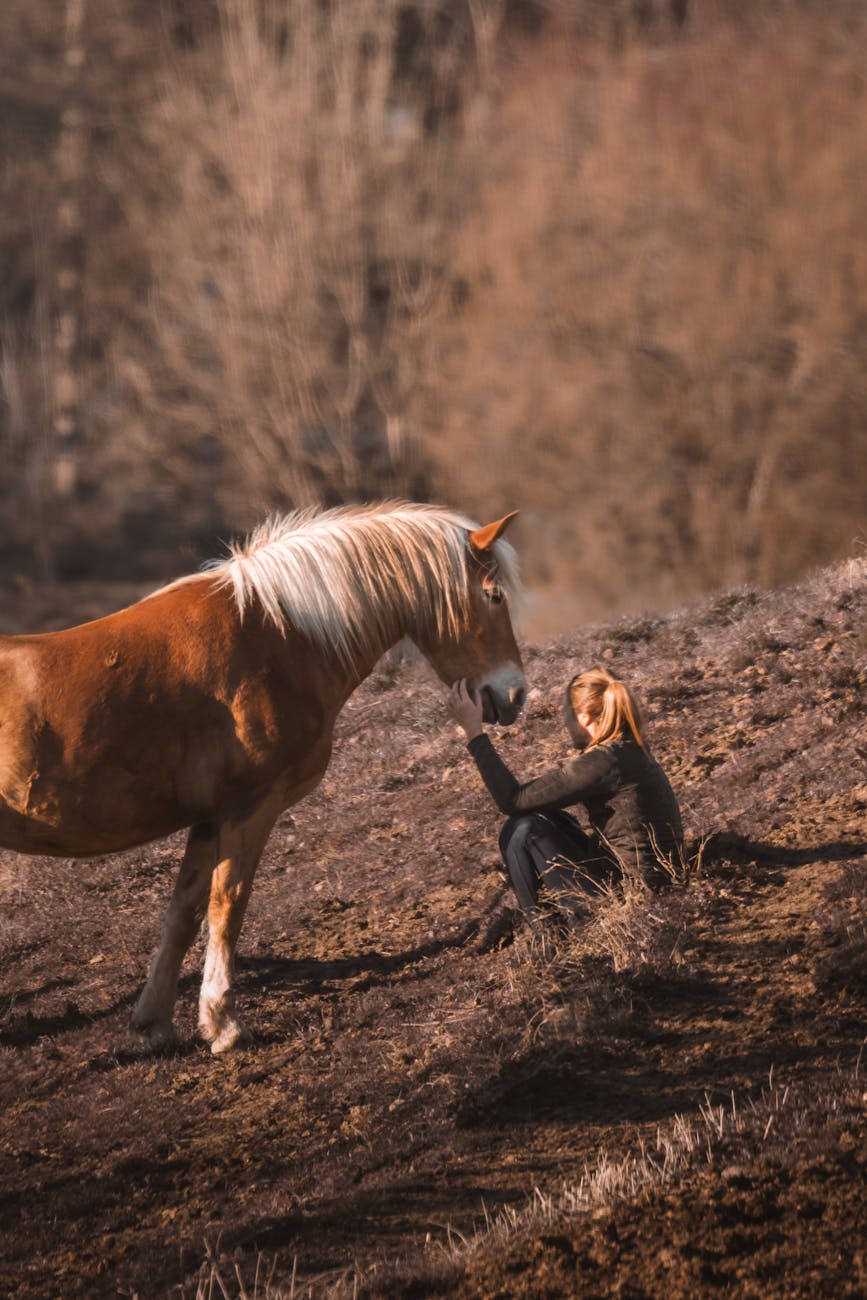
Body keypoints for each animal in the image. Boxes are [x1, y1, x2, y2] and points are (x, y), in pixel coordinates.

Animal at [0, 502, 525, 1053]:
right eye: (493, 595)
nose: (515, 695)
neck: (281, 635)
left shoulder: (210, 817)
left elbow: (185, 913)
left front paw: (154, 1023)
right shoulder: (250, 806)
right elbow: (228, 904)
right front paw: (223, 1022)